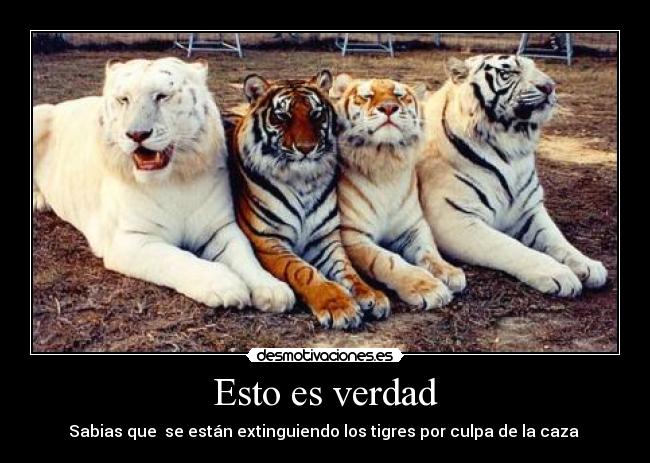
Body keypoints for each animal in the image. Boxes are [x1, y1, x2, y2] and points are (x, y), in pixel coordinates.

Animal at [33, 57, 294, 312]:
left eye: (162, 96)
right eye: (124, 99)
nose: (137, 134)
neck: (172, 181)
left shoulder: (220, 228)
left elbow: (245, 256)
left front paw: (273, 290)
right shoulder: (132, 239)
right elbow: (177, 258)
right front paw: (225, 285)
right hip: (39, 114)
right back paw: (39, 201)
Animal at [226, 71, 390, 329]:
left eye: (316, 114)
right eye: (281, 116)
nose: (306, 148)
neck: (302, 181)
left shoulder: (325, 238)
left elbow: (347, 269)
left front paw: (371, 294)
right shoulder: (268, 240)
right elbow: (303, 271)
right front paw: (338, 304)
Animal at [329, 74, 466, 311]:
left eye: (400, 96)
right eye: (367, 96)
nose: (389, 107)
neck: (386, 161)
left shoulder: (414, 226)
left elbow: (429, 251)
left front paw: (449, 271)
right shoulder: (353, 234)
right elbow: (388, 261)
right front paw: (428, 288)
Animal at [417, 55, 608, 296]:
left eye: (536, 67)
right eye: (508, 73)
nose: (550, 86)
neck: (511, 147)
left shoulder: (530, 210)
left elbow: (559, 240)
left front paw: (589, 265)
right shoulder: (455, 218)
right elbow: (510, 246)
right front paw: (559, 273)